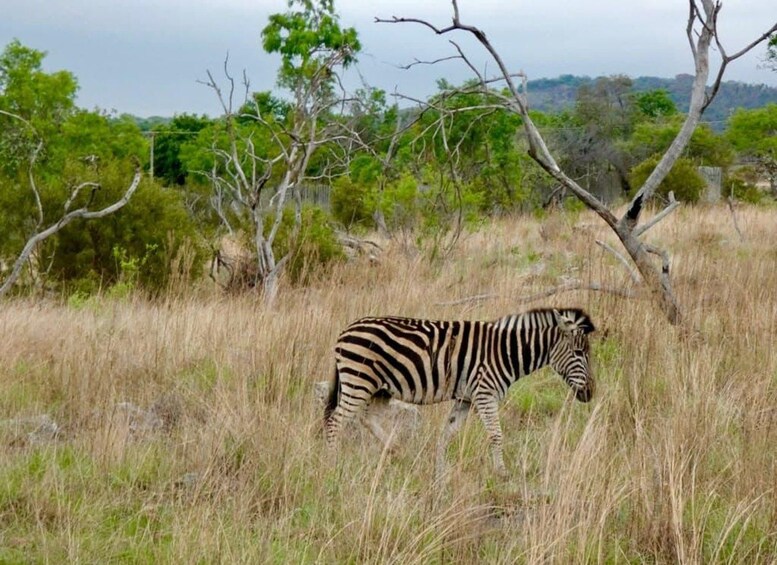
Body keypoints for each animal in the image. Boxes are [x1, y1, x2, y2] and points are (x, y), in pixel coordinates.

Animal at [323, 307, 596, 476]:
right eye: (579, 353)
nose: (591, 392)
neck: (506, 352)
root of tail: (345, 331)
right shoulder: (485, 394)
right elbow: (496, 434)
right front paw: (502, 472)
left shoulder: (465, 398)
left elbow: (447, 434)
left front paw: (439, 470)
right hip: (359, 380)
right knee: (336, 421)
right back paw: (333, 466)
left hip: (379, 388)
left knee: (366, 418)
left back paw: (397, 450)